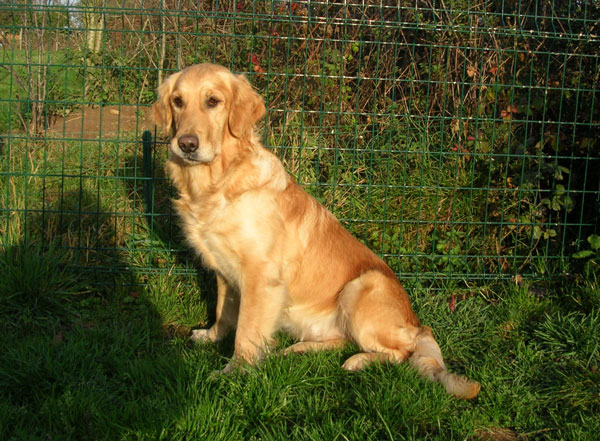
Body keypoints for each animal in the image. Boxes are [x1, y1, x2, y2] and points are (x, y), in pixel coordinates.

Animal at [152, 63, 480, 399]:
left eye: (213, 101)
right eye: (178, 101)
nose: (186, 144)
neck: (217, 182)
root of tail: (417, 324)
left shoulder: (260, 275)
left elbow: (245, 330)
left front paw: (235, 373)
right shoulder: (224, 271)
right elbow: (223, 312)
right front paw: (211, 335)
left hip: (361, 286)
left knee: (401, 353)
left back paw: (359, 361)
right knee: (341, 341)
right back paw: (296, 350)